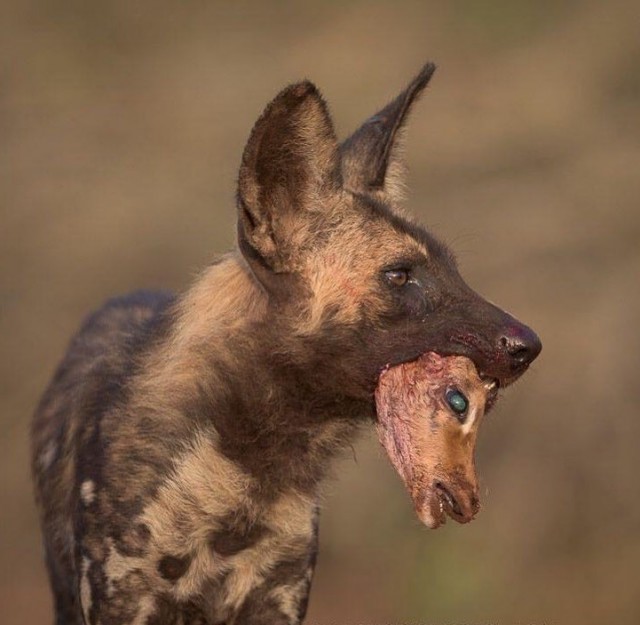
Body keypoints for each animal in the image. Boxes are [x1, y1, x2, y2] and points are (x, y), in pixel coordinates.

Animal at [30, 64, 540, 624]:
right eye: (400, 275)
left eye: (455, 272)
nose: (528, 344)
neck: (250, 472)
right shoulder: (124, 599)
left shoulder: (280, 597)